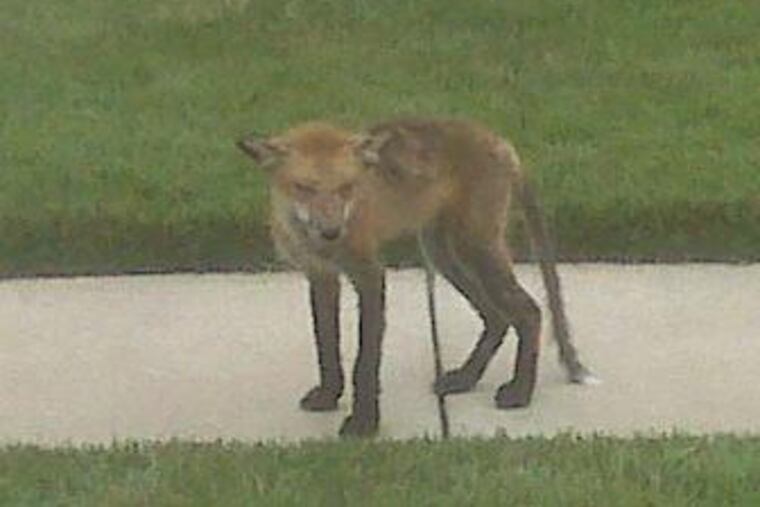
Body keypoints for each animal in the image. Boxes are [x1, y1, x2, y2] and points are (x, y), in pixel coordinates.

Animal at [237, 117, 594, 437]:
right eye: (304, 188)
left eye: (346, 188)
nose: (331, 232)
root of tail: (500, 141)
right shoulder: (320, 277)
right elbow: (326, 346)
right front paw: (328, 396)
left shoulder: (370, 274)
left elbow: (365, 361)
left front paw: (364, 423)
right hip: (446, 256)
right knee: (497, 318)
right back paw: (466, 378)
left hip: (475, 250)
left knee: (529, 313)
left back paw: (520, 392)